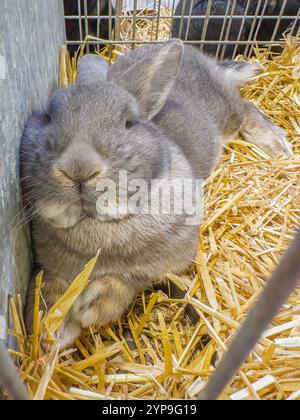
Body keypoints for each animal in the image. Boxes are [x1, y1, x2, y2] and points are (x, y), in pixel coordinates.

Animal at [20, 39, 290, 348]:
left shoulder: (161, 265)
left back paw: (276, 145)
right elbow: (47, 285)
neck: (99, 223)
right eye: (48, 117)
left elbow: (130, 281)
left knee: (246, 108)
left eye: (128, 123)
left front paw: (92, 307)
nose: (79, 167)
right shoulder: (48, 266)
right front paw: (48, 328)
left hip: (225, 113)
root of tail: (206, 61)